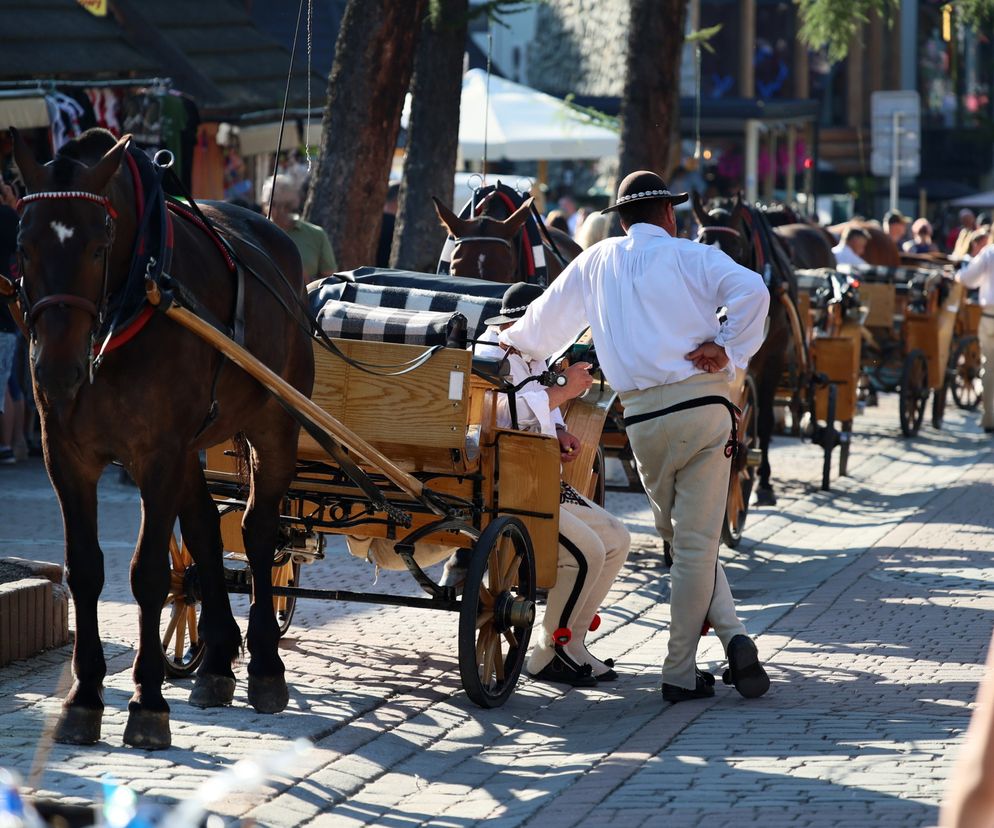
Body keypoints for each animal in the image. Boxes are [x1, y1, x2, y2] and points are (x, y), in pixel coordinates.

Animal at [8, 124, 314, 752]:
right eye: (24, 245)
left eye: (98, 245)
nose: (56, 370)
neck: (132, 304)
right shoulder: (65, 455)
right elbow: (85, 570)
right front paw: (85, 695)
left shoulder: (158, 455)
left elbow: (146, 574)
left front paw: (147, 701)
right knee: (203, 529)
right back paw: (217, 661)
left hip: (275, 424)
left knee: (257, 531)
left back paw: (265, 665)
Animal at [692, 192, 804, 504]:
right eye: (699, 244)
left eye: (737, 249)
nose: (718, 312)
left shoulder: (773, 358)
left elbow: (763, 416)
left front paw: (763, 482)